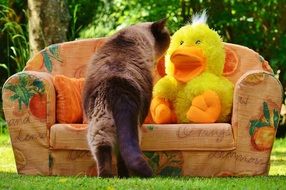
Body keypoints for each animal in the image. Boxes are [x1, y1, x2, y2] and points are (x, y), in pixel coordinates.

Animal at [82, 18, 170, 177]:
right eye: (167, 36)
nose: (171, 38)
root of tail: (120, 88)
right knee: (120, 153)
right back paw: (123, 176)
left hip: (100, 125)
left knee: (105, 151)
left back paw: (109, 177)